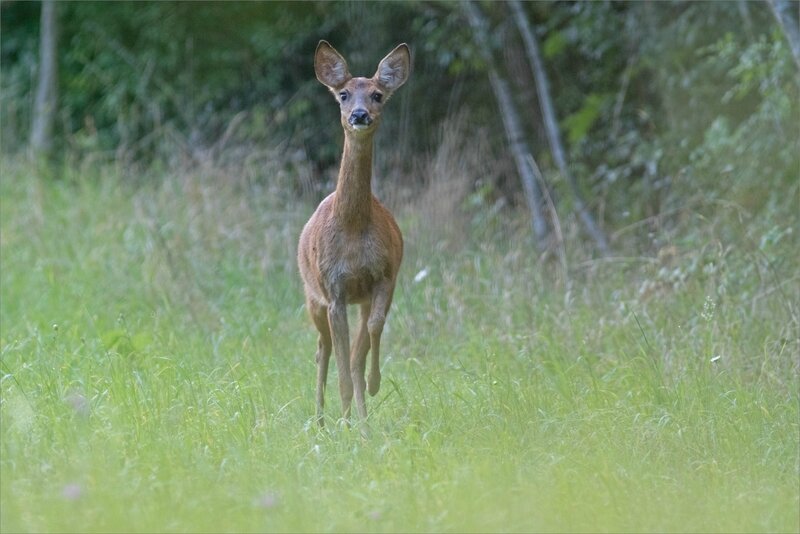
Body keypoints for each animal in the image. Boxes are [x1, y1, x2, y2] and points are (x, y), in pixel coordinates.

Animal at [300, 40, 412, 432]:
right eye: (344, 94)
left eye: (378, 94)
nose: (360, 115)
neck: (351, 229)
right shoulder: (333, 289)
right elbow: (343, 366)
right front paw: (346, 425)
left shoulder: (385, 277)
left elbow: (364, 346)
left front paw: (374, 386)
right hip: (312, 296)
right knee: (322, 350)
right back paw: (321, 420)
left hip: (357, 299)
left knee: (348, 353)